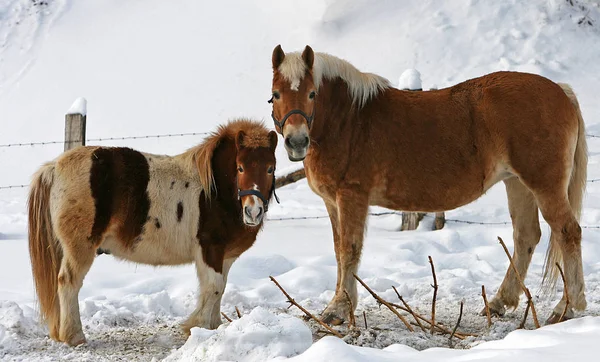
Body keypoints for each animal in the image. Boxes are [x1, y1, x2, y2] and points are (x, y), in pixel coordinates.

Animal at [27, 119, 278, 346]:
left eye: (270, 168)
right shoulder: (210, 250)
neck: (214, 191)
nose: (253, 211)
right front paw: (198, 327)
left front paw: (212, 328)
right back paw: (74, 336)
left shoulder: (224, 256)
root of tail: (54, 167)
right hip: (79, 247)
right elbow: (213, 287)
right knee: (68, 282)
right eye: (240, 167)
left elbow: (220, 288)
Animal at [270, 44, 588, 326]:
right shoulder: (332, 202)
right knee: (526, 237)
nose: (297, 141)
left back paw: (567, 308)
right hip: (517, 183)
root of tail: (561, 90)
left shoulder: (351, 197)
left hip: (543, 185)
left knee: (567, 232)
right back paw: (499, 303)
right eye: (276, 94)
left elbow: (349, 251)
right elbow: (338, 251)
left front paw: (337, 309)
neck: (350, 120)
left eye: (312, 93)